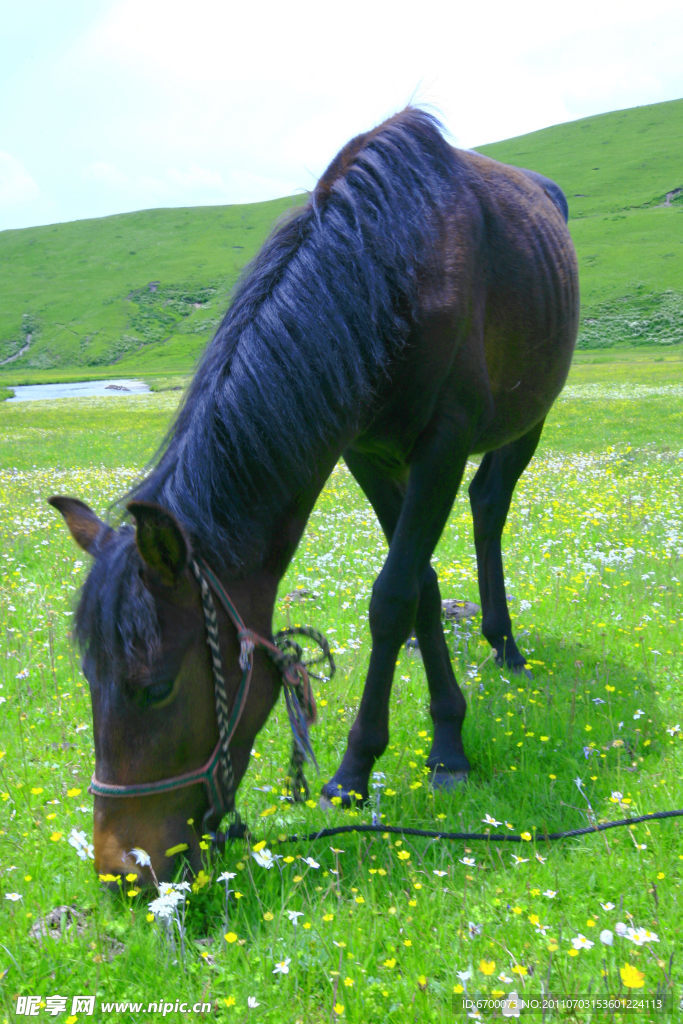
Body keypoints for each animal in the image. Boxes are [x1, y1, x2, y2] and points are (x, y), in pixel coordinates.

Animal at [50, 108, 581, 884]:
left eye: (156, 687)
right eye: (90, 678)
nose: (122, 866)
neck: (387, 273)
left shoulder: (442, 446)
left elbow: (391, 598)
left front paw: (369, 766)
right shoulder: (366, 452)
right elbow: (421, 588)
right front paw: (443, 733)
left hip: (527, 420)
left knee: (490, 505)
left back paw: (505, 643)